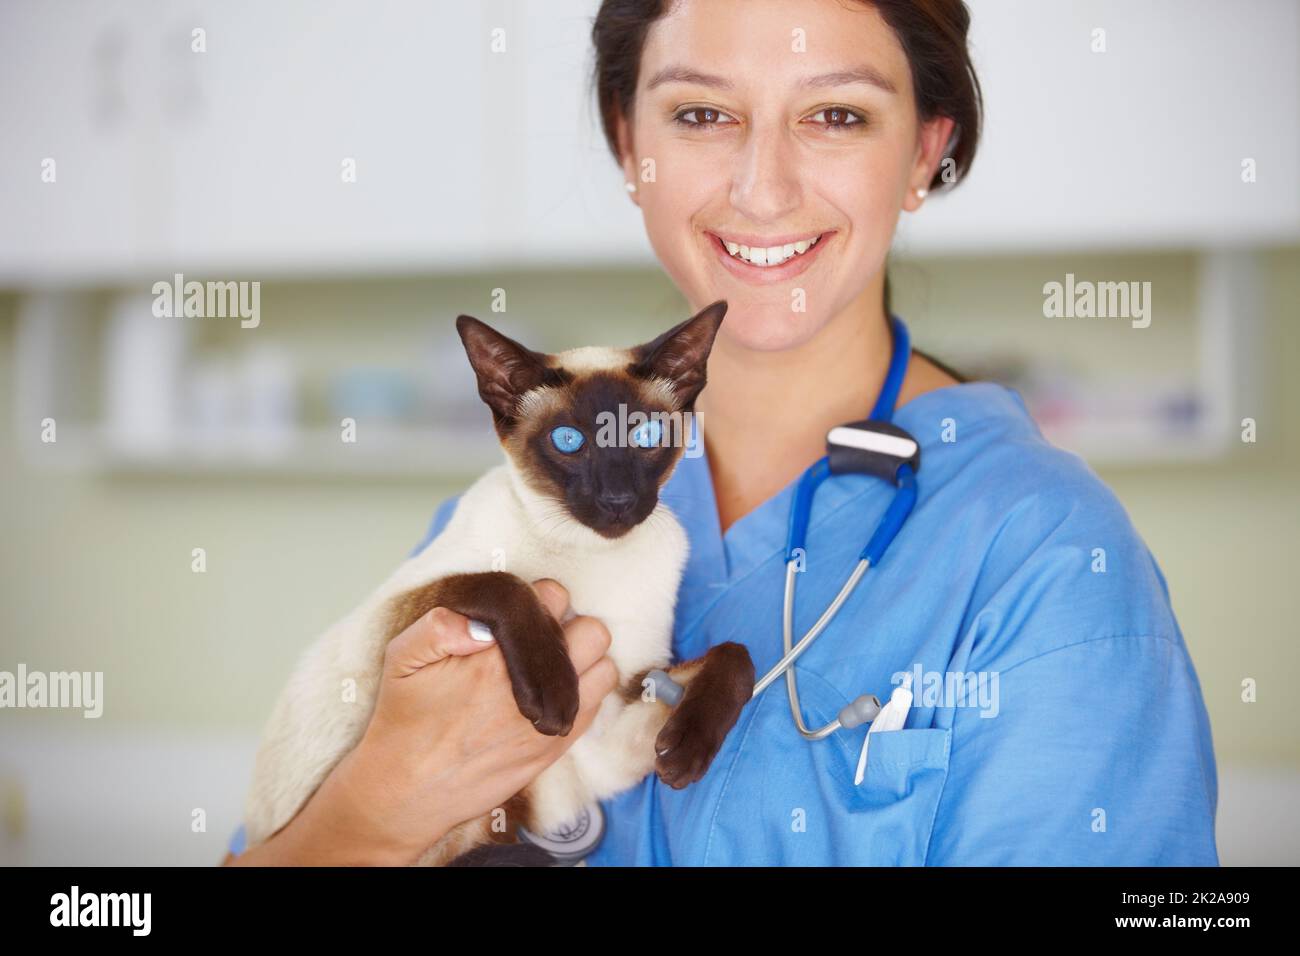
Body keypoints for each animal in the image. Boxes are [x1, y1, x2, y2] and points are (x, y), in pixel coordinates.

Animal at [243, 300, 754, 868]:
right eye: (568, 441)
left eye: (645, 437)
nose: (618, 501)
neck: (591, 554)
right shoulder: (393, 618)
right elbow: (503, 582)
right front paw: (554, 698)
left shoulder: (613, 726)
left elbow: (737, 656)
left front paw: (684, 756)